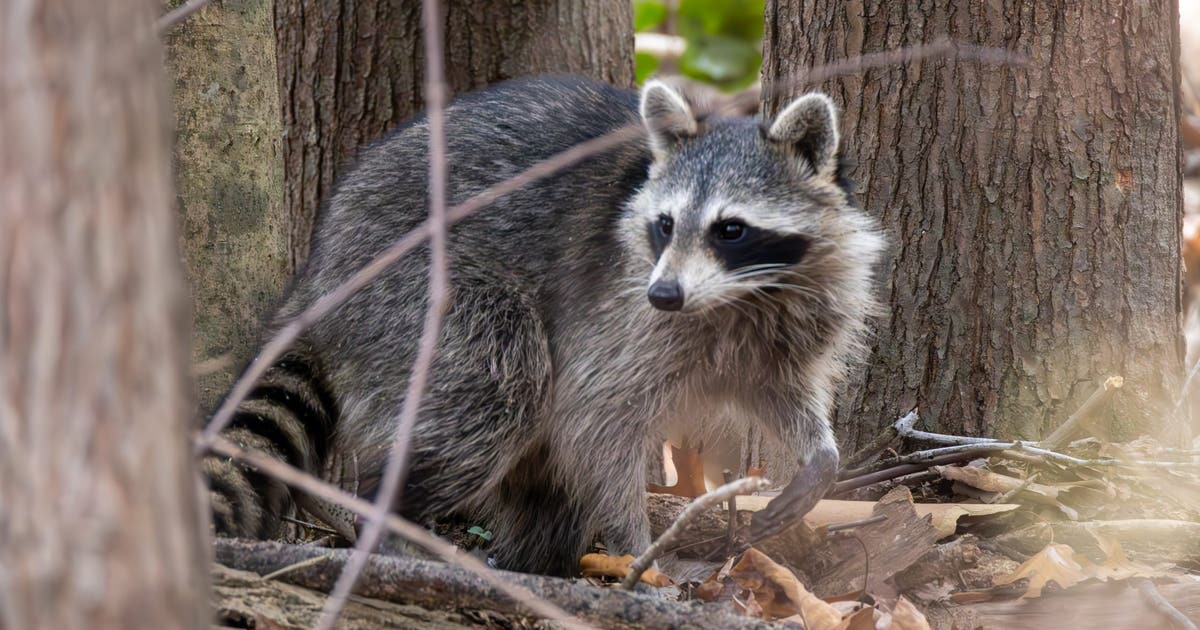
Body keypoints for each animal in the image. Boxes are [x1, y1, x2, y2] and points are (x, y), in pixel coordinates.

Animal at [204, 75, 884, 576]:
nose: (664, 294)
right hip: (413, 290)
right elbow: (595, 419)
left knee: (536, 465)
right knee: (499, 388)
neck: (738, 296)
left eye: (731, 229)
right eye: (665, 224)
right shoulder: (619, 311)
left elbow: (780, 388)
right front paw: (637, 551)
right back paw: (395, 519)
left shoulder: (793, 317)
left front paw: (819, 458)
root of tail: (323, 263)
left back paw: (535, 558)